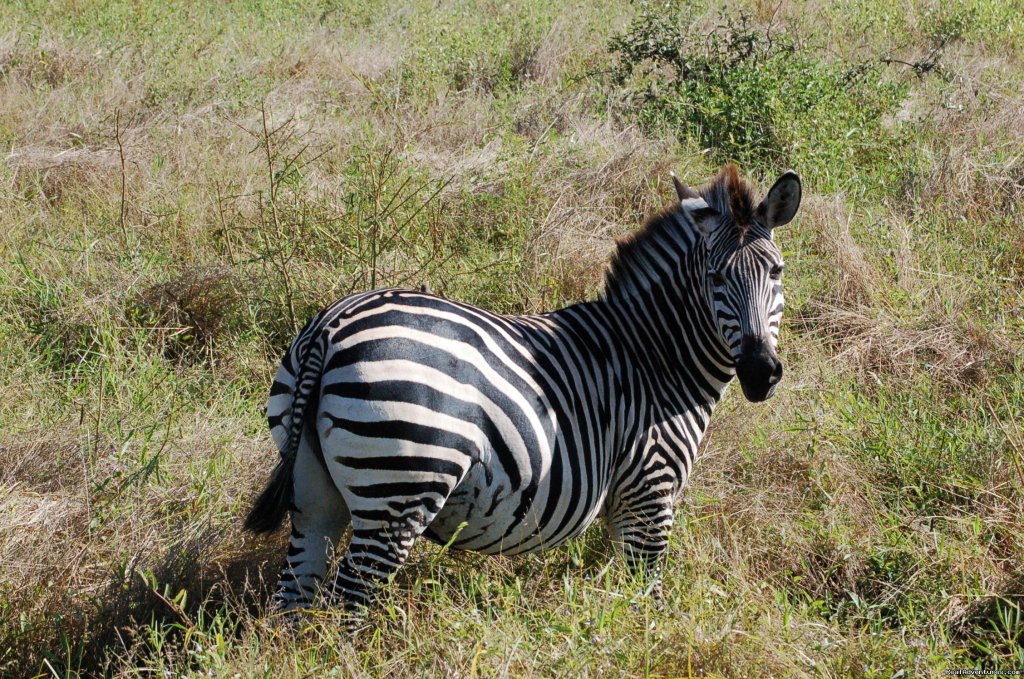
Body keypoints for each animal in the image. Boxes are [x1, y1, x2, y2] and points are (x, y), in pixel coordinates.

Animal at [245, 163, 798, 614]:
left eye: (776, 271)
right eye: (715, 278)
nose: (761, 373)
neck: (657, 356)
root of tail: (331, 327)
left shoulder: (621, 504)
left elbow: (617, 591)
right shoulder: (649, 493)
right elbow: (647, 598)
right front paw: (650, 643)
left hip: (313, 491)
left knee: (296, 596)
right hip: (398, 486)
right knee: (349, 601)